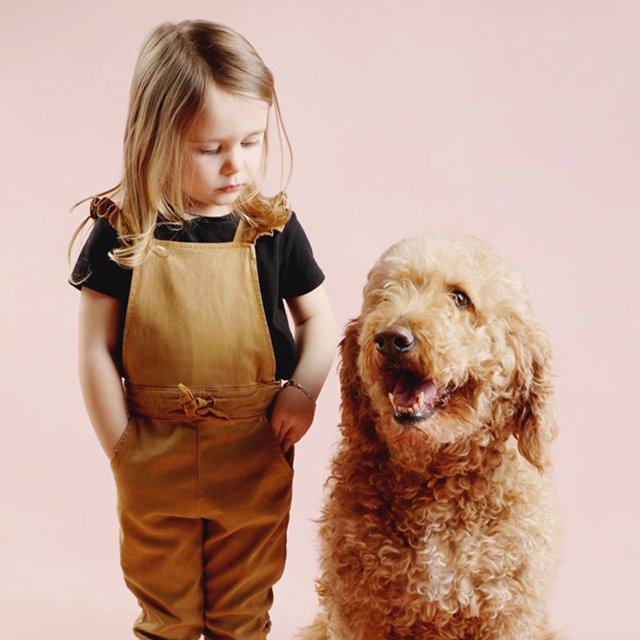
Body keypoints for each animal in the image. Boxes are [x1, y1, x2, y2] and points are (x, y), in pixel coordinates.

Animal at [302, 235, 560, 640]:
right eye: (385, 295)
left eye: (460, 298)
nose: (391, 339)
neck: (436, 481)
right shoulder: (356, 611)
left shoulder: (509, 612)